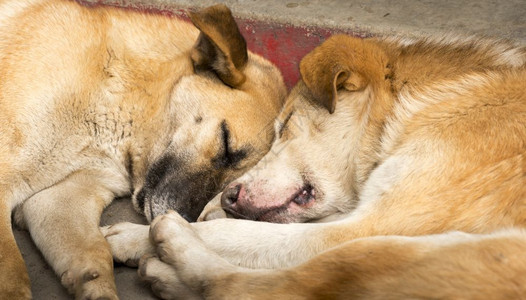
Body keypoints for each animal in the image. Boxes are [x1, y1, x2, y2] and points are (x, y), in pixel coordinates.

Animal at [107, 34, 526, 298]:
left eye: (288, 122)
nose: (228, 197)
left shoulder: (372, 224)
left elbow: (240, 236)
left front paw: (135, 236)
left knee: (258, 288)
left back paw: (171, 251)